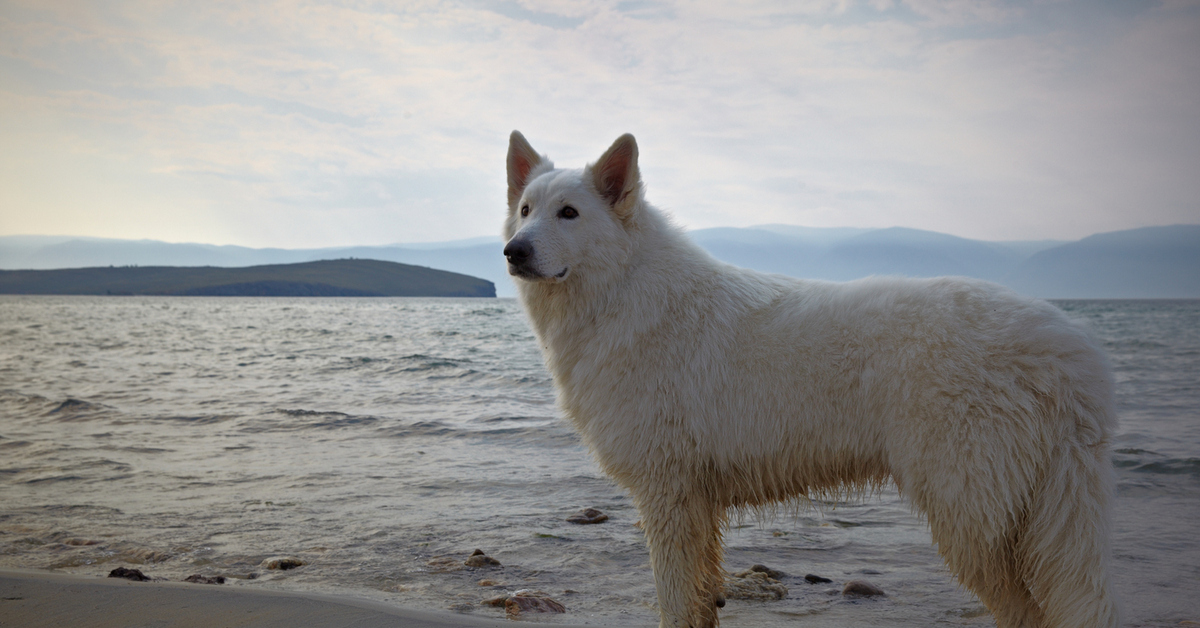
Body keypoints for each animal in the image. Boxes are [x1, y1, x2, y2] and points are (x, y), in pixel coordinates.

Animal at [501, 130, 1118, 624]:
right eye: (527, 209)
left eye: (569, 213)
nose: (512, 251)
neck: (622, 290)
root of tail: (1069, 347)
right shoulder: (696, 505)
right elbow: (702, 599)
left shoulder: (667, 494)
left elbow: (674, 602)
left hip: (970, 518)